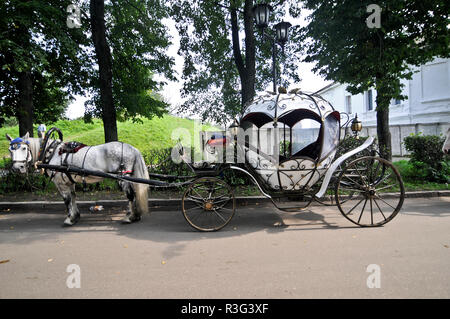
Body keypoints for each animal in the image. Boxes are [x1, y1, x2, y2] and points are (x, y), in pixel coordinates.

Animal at [5, 132, 149, 228]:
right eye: (10, 150)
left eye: (24, 148)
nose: (17, 168)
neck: (52, 152)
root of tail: (131, 148)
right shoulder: (69, 181)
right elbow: (73, 197)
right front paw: (76, 216)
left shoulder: (61, 183)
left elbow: (67, 200)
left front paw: (70, 219)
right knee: (134, 194)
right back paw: (136, 215)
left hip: (122, 178)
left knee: (130, 195)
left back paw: (129, 216)